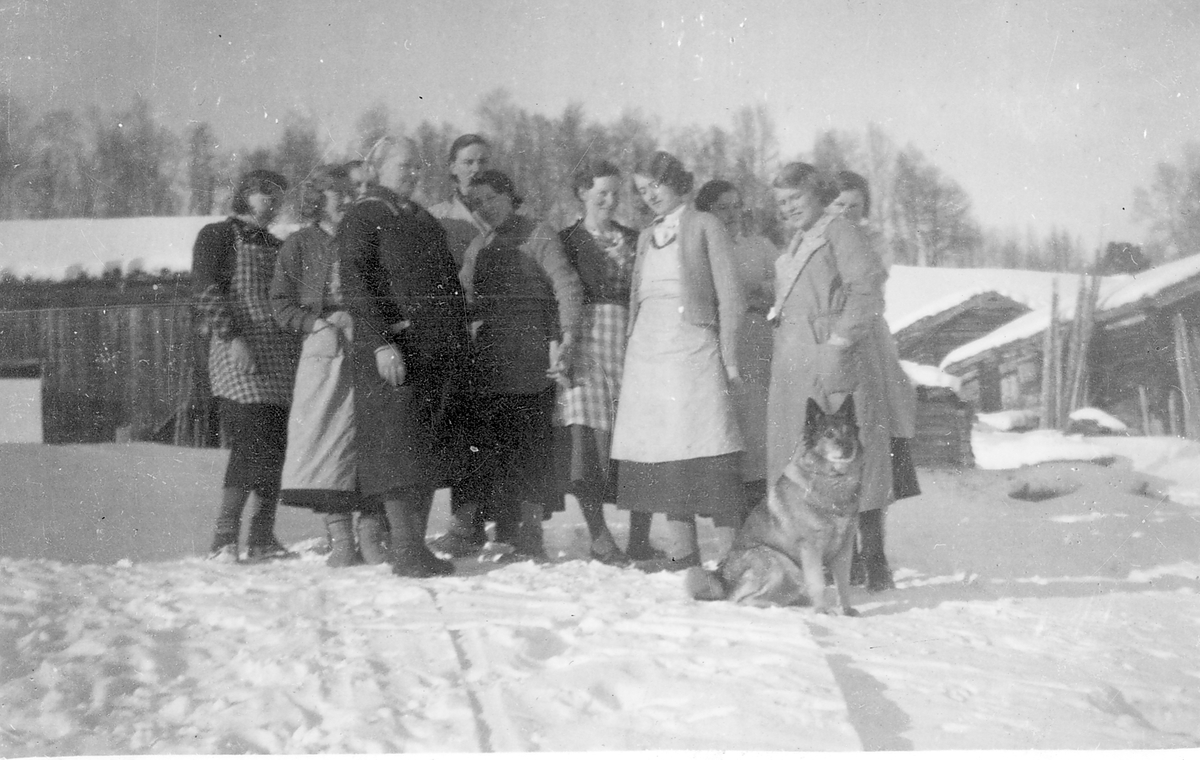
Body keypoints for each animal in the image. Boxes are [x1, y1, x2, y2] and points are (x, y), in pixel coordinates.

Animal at [686, 401, 864, 614]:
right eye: (828, 434)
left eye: (849, 432)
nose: (848, 447)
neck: (834, 482)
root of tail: (723, 578)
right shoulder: (810, 547)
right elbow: (818, 583)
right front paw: (822, 611)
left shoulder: (845, 547)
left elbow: (843, 584)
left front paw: (847, 611)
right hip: (778, 562)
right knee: (740, 600)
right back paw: (776, 608)